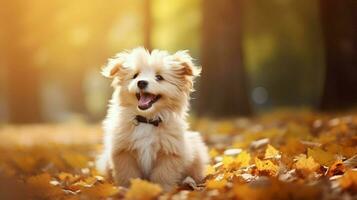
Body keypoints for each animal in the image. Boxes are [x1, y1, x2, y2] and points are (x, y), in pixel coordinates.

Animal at [96, 47, 209, 191]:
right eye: (135, 76)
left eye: (159, 77)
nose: (141, 82)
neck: (147, 120)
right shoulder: (123, 153)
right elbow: (128, 175)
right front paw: (127, 190)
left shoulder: (169, 153)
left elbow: (162, 175)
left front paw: (161, 191)